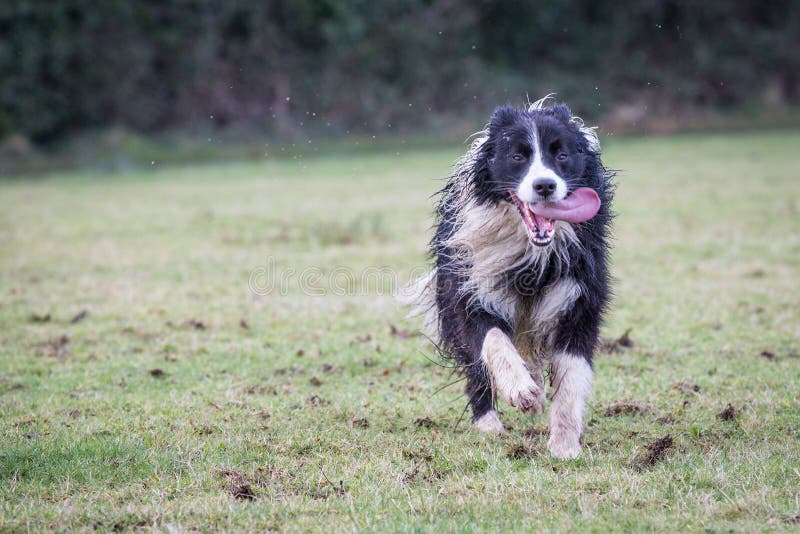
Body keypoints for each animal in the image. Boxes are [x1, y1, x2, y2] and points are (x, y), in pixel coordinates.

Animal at [404, 98, 616, 458]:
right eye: (518, 156)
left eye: (561, 154)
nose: (544, 185)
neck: (532, 253)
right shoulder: (472, 279)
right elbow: (491, 338)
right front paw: (521, 392)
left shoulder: (579, 292)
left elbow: (572, 373)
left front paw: (564, 445)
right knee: (478, 366)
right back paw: (490, 424)